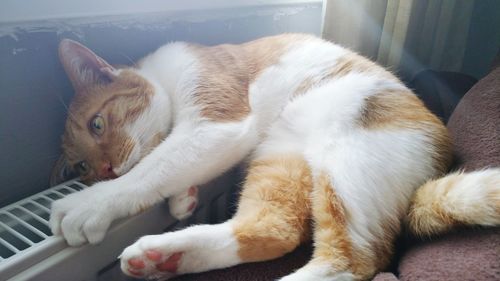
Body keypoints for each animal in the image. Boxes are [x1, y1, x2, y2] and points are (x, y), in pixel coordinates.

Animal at [51, 35, 500, 280]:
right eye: (82, 168)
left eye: (97, 124)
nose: (105, 169)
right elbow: (169, 165)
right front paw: (183, 198)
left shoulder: (216, 123)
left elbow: (152, 168)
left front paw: (90, 203)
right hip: (278, 159)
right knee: (274, 229)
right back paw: (167, 255)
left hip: (348, 164)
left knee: (349, 262)